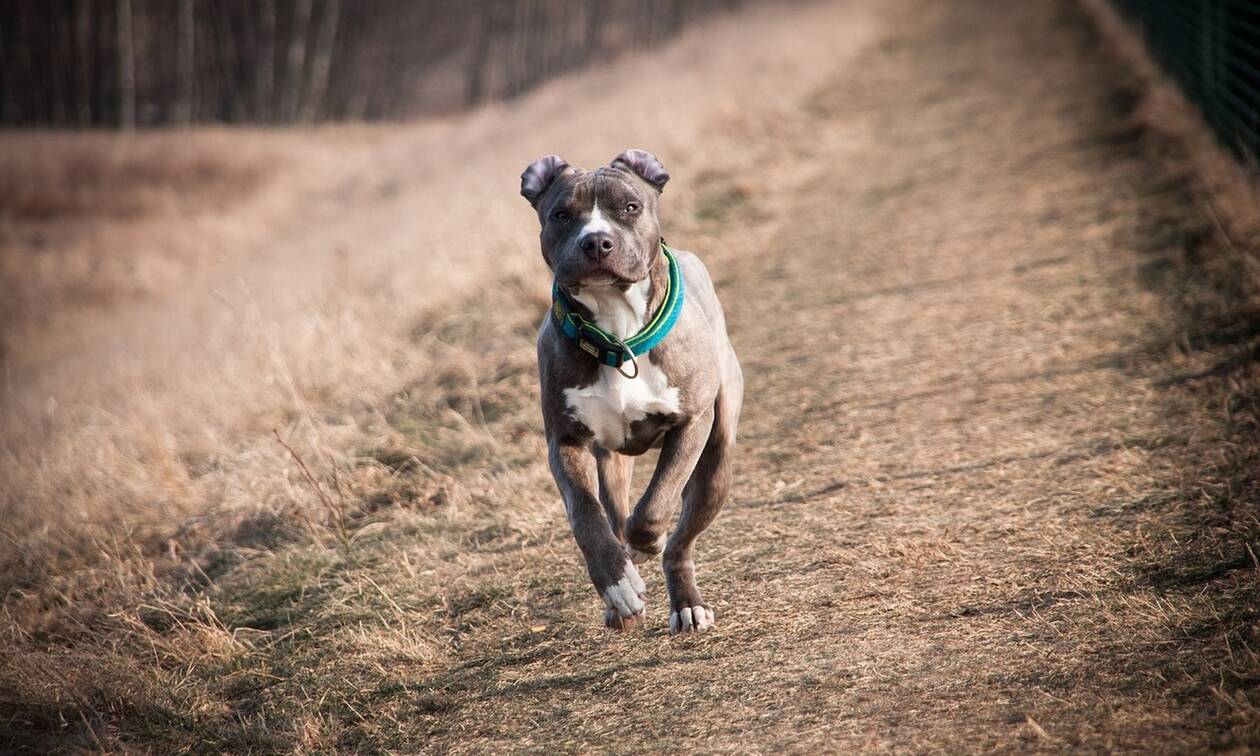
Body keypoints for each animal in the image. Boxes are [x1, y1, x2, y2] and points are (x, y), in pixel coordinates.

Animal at [519, 147, 735, 632]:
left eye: (630, 207)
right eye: (561, 214)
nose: (597, 241)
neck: (617, 331)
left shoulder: (692, 424)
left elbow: (656, 505)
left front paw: (645, 544)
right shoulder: (566, 442)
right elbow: (586, 517)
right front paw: (618, 585)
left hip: (717, 463)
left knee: (680, 541)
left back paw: (686, 602)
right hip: (612, 464)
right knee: (613, 515)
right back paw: (621, 595)